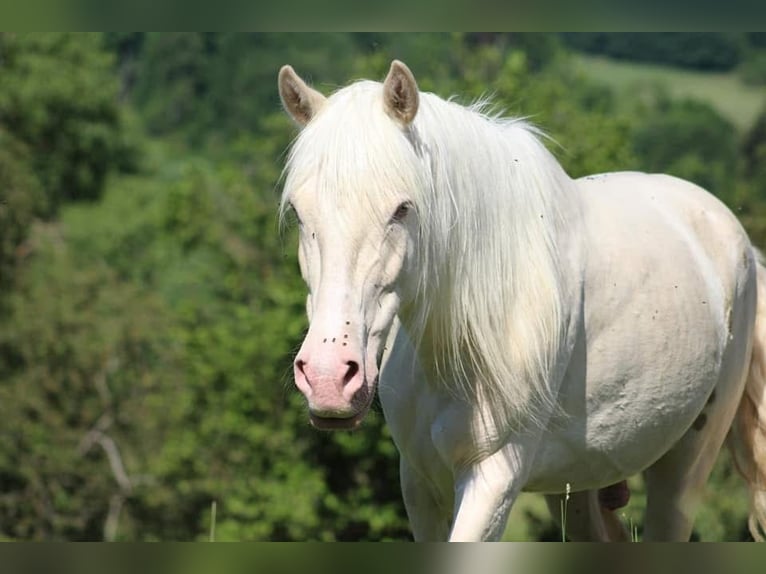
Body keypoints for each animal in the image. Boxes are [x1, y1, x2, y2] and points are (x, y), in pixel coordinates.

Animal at [280, 60, 766, 544]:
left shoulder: (493, 480)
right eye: (300, 214)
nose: (327, 379)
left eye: (402, 209)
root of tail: (738, 242)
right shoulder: (419, 485)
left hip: (685, 466)